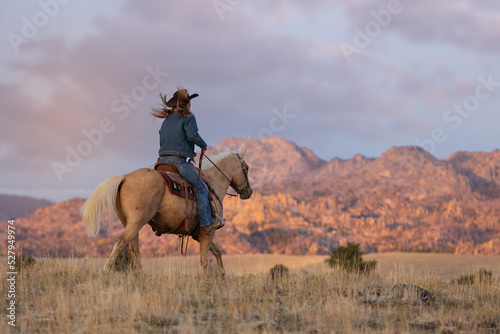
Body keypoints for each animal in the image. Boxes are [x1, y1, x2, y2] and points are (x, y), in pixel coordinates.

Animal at [83, 150, 254, 276]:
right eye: (246, 168)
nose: (249, 192)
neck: (212, 183)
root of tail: (124, 177)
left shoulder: (198, 234)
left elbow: (217, 252)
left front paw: (223, 276)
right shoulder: (208, 231)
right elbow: (204, 260)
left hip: (130, 223)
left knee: (133, 249)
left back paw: (141, 276)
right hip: (136, 222)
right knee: (121, 242)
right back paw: (106, 271)